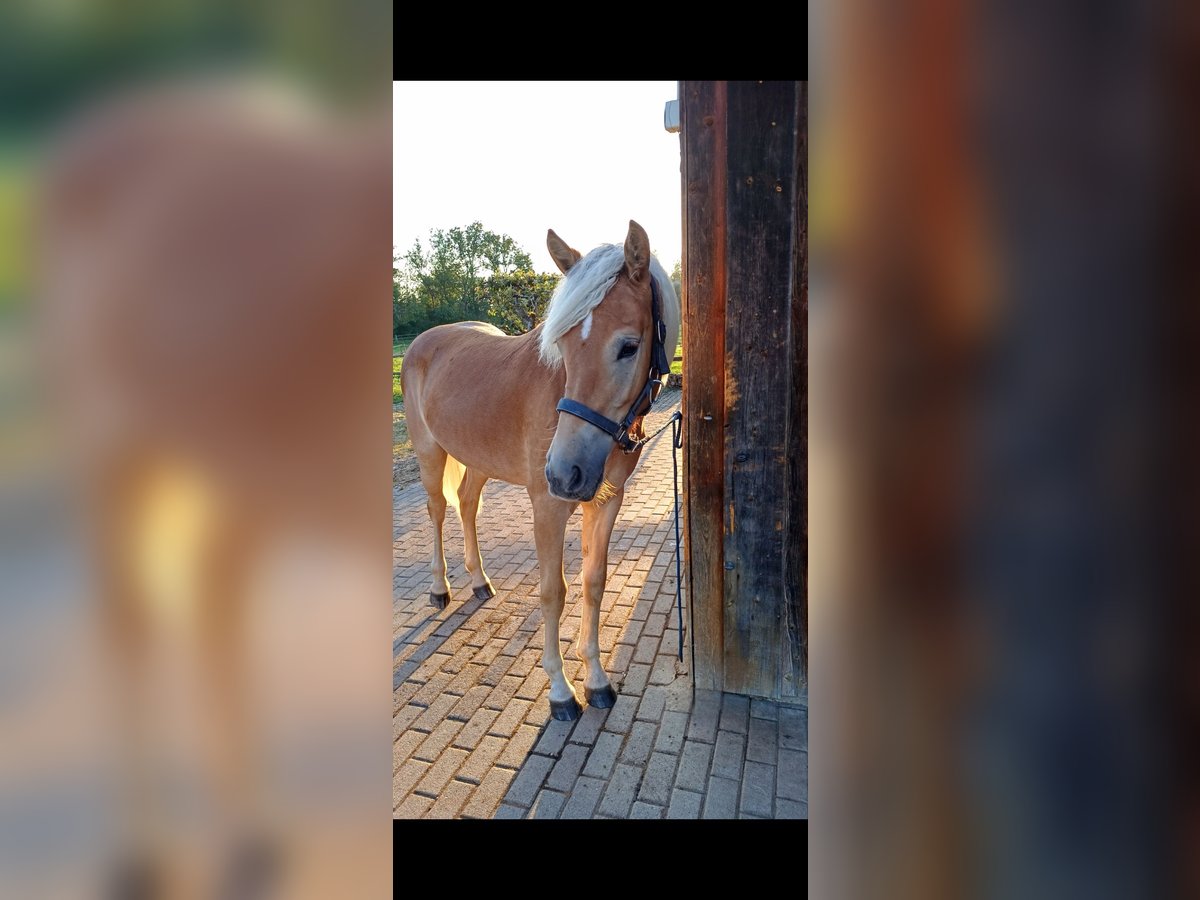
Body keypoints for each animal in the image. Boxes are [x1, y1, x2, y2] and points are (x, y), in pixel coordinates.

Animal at [403, 222, 681, 724]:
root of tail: (422, 342)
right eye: (564, 345)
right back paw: (440, 588)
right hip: (430, 453)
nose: (565, 472)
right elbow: (554, 591)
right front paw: (560, 690)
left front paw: (597, 680)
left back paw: (479, 581)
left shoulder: (607, 501)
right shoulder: (548, 508)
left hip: (479, 461)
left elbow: (593, 582)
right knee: (436, 511)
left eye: (629, 346)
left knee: (467, 505)